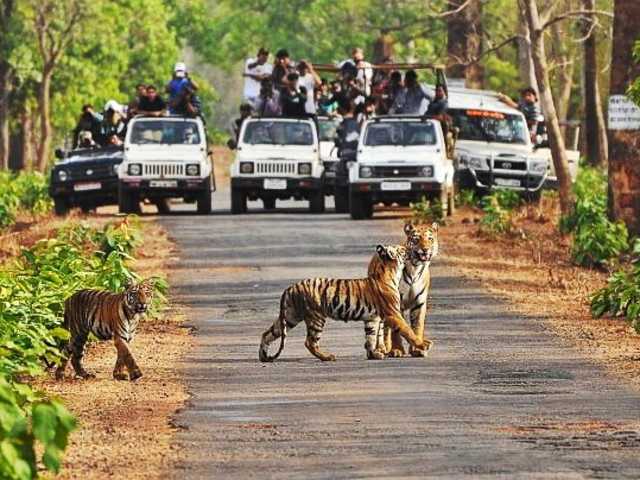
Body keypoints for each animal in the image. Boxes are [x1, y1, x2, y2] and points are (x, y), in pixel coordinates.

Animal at [258, 246, 432, 362]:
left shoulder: (372, 319)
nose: (410, 249)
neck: (390, 273)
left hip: (290, 317)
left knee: (267, 334)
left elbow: (371, 337)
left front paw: (373, 354)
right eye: (402, 249)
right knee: (310, 342)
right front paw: (423, 345)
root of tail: (290, 287)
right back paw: (327, 357)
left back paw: (263, 356)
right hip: (316, 317)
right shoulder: (393, 314)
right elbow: (408, 330)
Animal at [382, 221, 438, 356]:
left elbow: (418, 326)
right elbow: (396, 330)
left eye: (430, 239)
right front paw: (396, 350)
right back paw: (386, 347)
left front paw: (418, 349)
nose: (425, 249)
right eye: (416, 239)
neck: (415, 267)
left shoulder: (419, 303)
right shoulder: (396, 303)